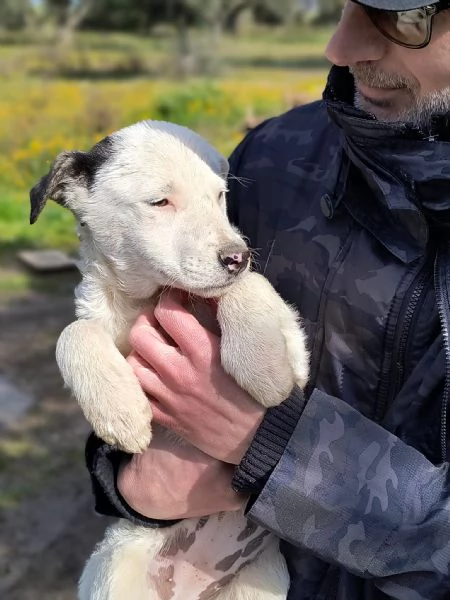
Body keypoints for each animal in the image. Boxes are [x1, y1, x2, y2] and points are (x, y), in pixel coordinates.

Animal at [29, 122, 310, 600]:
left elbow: (249, 287)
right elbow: (73, 333)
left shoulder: (299, 353)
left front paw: (265, 369)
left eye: (219, 196)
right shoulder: (94, 317)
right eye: (161, 202)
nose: (237, 256)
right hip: (112, 567)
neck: (153, 296)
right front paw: (120, 412)